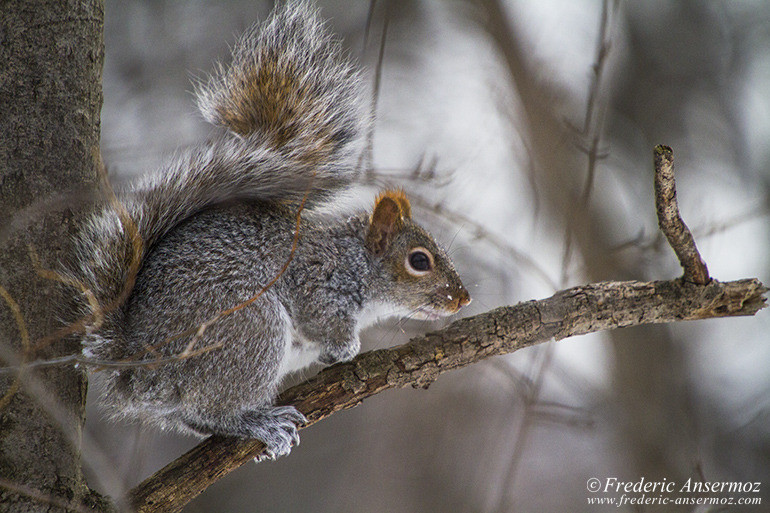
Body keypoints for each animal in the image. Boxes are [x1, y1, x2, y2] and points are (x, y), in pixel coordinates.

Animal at [69, 0, 468, 456]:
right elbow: (322, 320)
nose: (463, 299)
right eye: (419, 261)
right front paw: (345, 348)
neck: (356, 262)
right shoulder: (318, 285)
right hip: (249, 330)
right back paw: (261, 423)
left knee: (193, 415)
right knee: (214, 408)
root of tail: (138, 363)